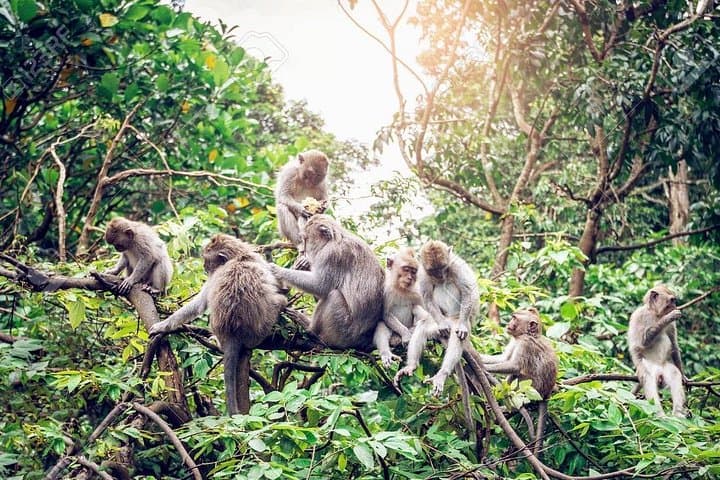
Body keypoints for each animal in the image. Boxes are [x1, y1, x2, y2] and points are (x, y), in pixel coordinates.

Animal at [149, 234, 286, 415]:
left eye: (206, 259)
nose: (204, 267)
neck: (237, 257)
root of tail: (232, 332)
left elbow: (199, 304)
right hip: (261, 331)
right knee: (280, 301)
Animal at [269, 214, 384, 350]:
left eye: (306, 239)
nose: (303, 251)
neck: (334, 239)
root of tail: (363, 342)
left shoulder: (331, 255)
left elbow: (320, 286)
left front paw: (278, 270)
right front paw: (302, 264)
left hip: (342, 331)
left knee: (334, 296)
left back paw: (310, 329)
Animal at [395, 240, 479, 395]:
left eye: (443, 267)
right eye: (432, 271)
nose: (439, 276)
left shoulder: (455, 266)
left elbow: (467, 292)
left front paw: (462, 326)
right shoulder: (422, 274)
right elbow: (427, 297)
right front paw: (442, 325)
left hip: (458, 319)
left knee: (457, 335)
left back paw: (442, 374)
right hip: (437, 324)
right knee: (423, 326)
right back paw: (411, 366)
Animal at [479, 307, 558, 454]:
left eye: (514, 318)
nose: (508, 324)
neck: (527, 334)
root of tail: (546, 394)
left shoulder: (525, 343)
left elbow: (514, 366)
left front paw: (484, 369)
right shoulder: (515, 340)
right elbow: (503, 359)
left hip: (532, 389)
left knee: (516, 375)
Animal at [628, 284, 685, 417]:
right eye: (672, 300)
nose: (675, 306)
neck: (655, 313)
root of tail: (659, 371)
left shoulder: (672, 326)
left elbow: (674, 346)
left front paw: (684, 377)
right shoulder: (639, 316)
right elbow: (641, 343)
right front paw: (668, 317)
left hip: (665, 369)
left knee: (674, 374)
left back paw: (677, 413)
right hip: (648, 367)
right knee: (648, 379)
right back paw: (659, 415)